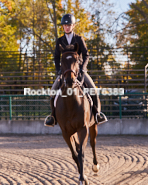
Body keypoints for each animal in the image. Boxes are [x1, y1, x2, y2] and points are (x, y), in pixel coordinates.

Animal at [55, 42, 99, 184]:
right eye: (62, 61)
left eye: (77, 60)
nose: (70, 81)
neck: (70, 103)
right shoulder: (66, 133)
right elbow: (75, 155)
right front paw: (83, 177)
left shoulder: (83, 129)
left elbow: (81, 154)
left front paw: (82, 178)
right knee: (79, 147)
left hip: (93, 126)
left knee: (93, 143)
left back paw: (95, 166)